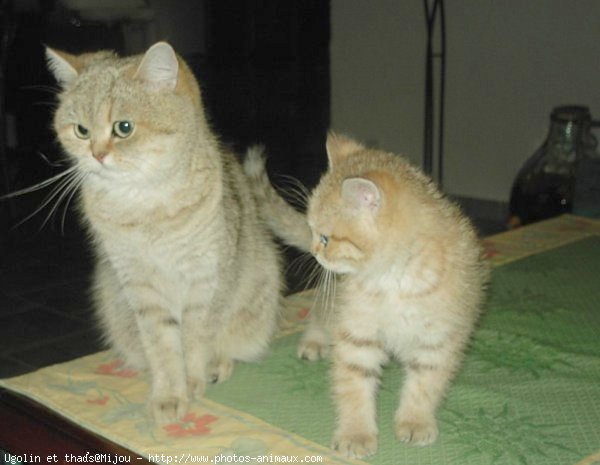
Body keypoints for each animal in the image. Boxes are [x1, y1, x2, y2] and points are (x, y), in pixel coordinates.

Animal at [44, 41, 284, 422]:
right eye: (81, 130)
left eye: (123, 127)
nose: (97, 154)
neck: (145, 206)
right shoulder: (141, 287)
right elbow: (162, 346)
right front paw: (170, 394)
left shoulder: (205, 280)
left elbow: (196, 339)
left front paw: (194, 378)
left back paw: (218, 365)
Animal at [246, 134, 490, 456]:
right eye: (312, 230)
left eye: (325, 238)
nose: (314, 250)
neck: (396, 278)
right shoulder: (356, 331)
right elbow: (354, 386)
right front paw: (356, 433)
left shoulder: (438, 339)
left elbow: (425, 384)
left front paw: (415, 420)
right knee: (320, 315)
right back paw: (313, 342)